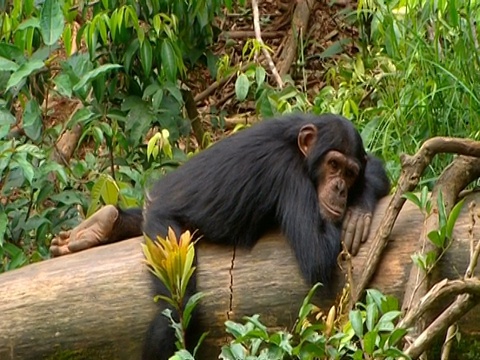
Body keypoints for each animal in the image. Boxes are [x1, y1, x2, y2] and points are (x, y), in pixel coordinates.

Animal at [50, 113, 392, 360]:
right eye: (333, 164)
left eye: (349, 172)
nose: (341, 188)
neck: (302, 156)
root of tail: (154, 198)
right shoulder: (289, 176)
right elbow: (316, 255)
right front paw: (357, 210)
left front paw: (361, 203)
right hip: (166, 238)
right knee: (173, 313)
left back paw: (98, 227)